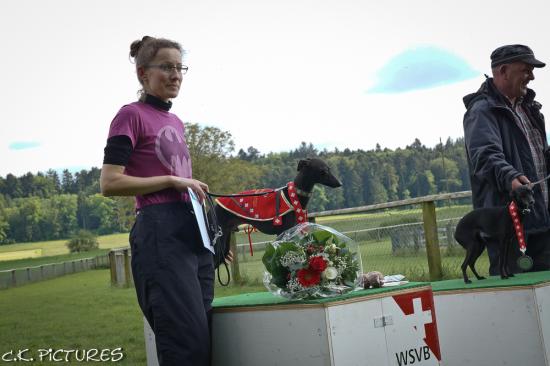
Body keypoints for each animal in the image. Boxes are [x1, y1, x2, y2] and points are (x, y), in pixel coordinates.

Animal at [210, 157, 340, 268]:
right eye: (323, 170)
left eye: (329, 169)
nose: (340, 183)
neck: (293, 196)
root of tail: (215, 205)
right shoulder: (284, 233)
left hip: (224, 244)